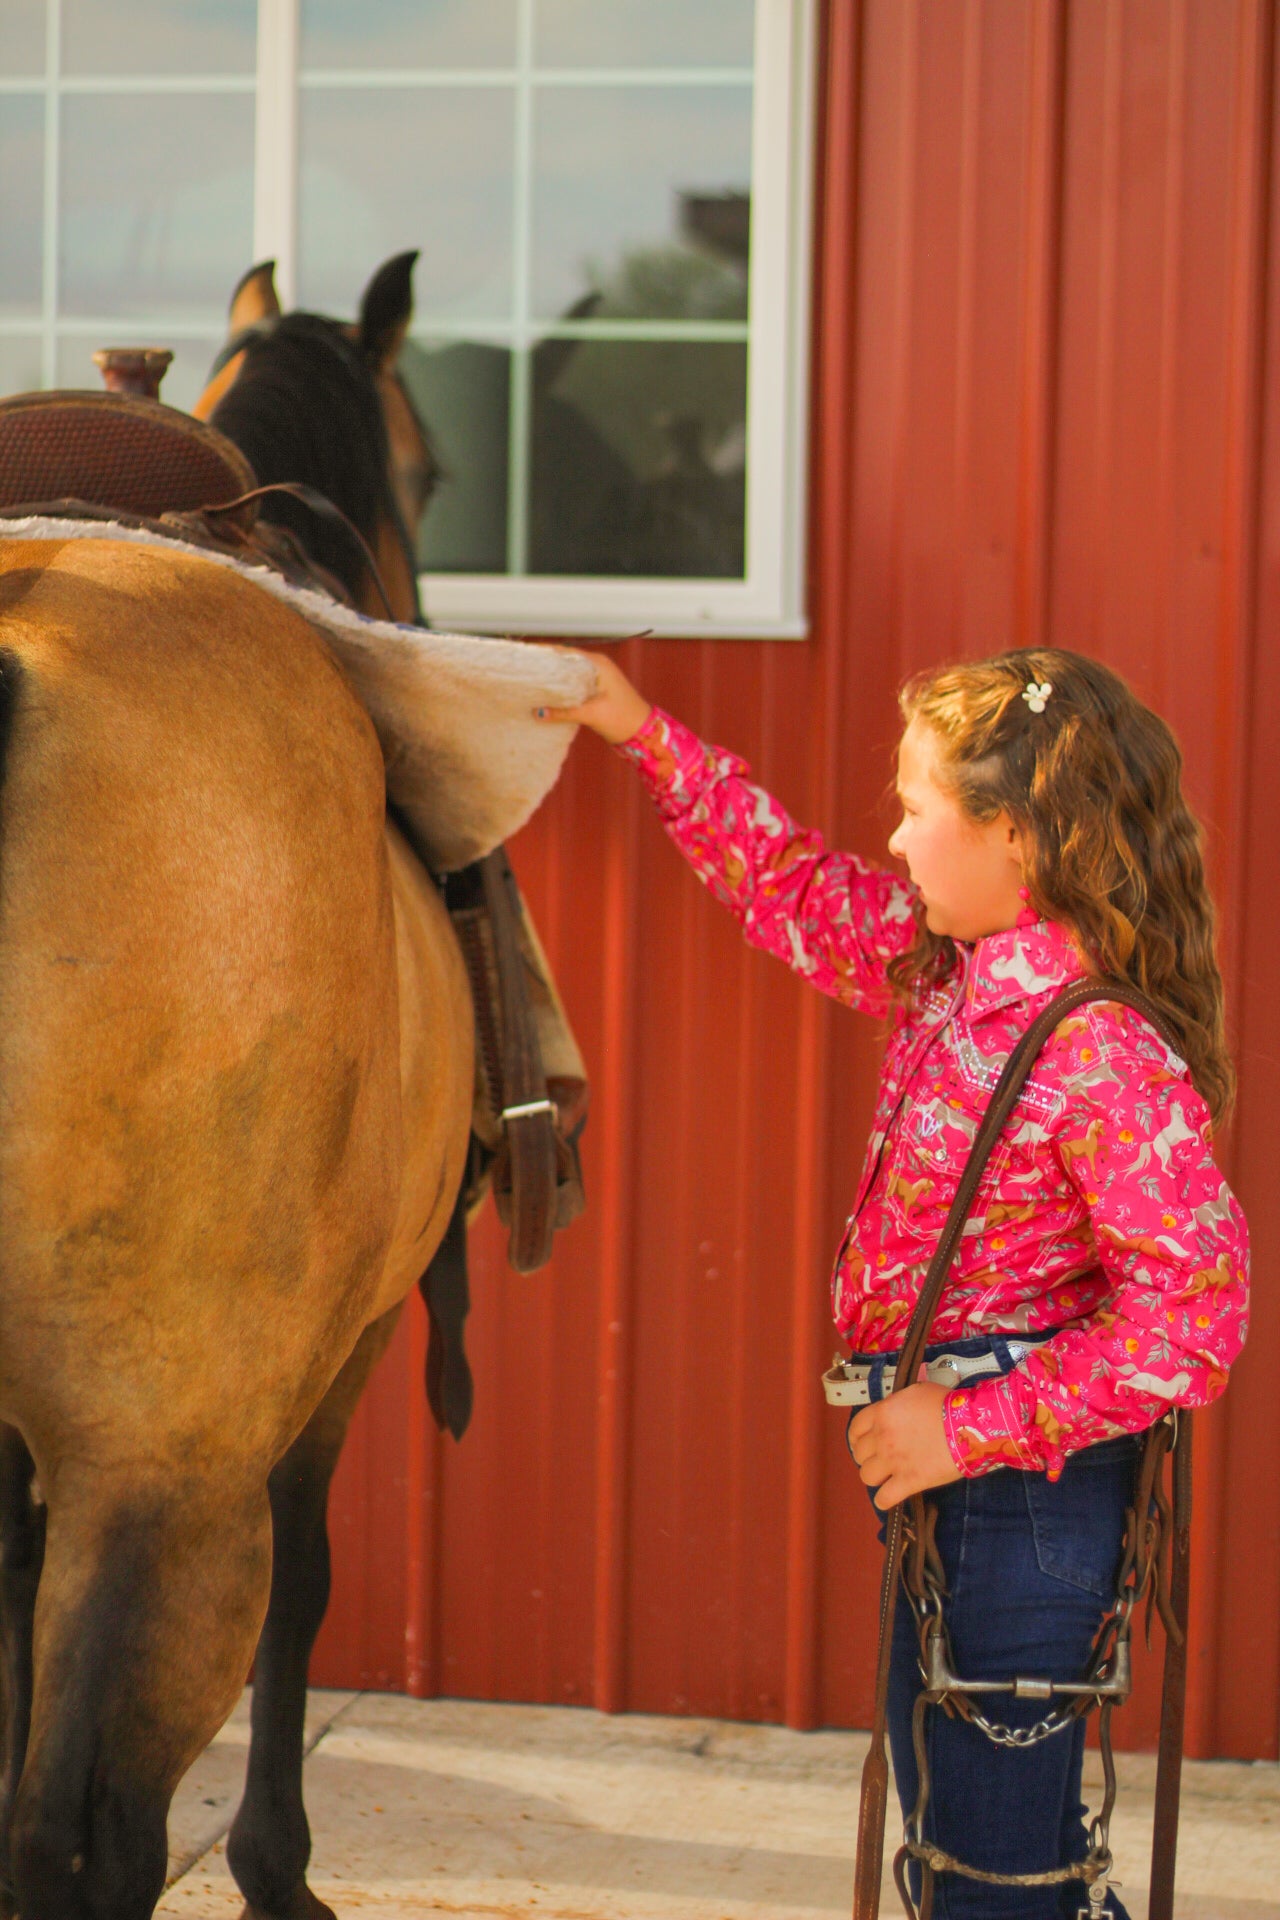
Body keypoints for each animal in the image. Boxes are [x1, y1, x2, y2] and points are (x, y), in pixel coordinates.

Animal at [0, 260, 479, 1920]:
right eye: (425, 468)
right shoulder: (326, 1366)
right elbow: (312, 1575)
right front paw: (277, 1865)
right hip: (165, 1477)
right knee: (85, 1831)